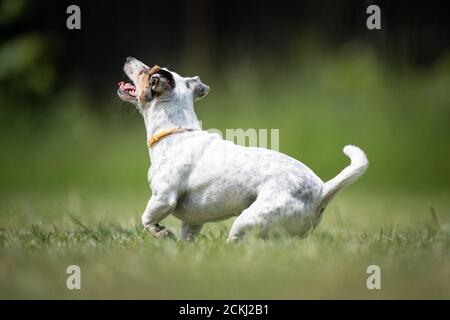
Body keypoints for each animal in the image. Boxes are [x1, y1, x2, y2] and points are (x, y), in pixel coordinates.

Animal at [117, 58, 370, 242]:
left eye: (147, 71)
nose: (129, 58)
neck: (176, 132)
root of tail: (322, 191)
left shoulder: (163, 198)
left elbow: (147, 220)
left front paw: (161, 232)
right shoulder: (193, 221)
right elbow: (187, 237)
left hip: (248, 220)